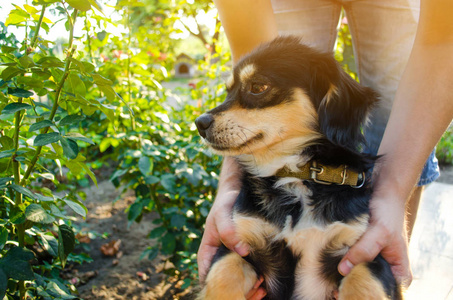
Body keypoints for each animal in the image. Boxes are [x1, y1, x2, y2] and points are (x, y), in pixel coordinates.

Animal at [194, 36, 402, 298]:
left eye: (258, 86)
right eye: (228, 91)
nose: (199, 123)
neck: (297, 174)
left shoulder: (364, 252)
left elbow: (365, 284)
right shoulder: (238, 244)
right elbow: (222, 275)